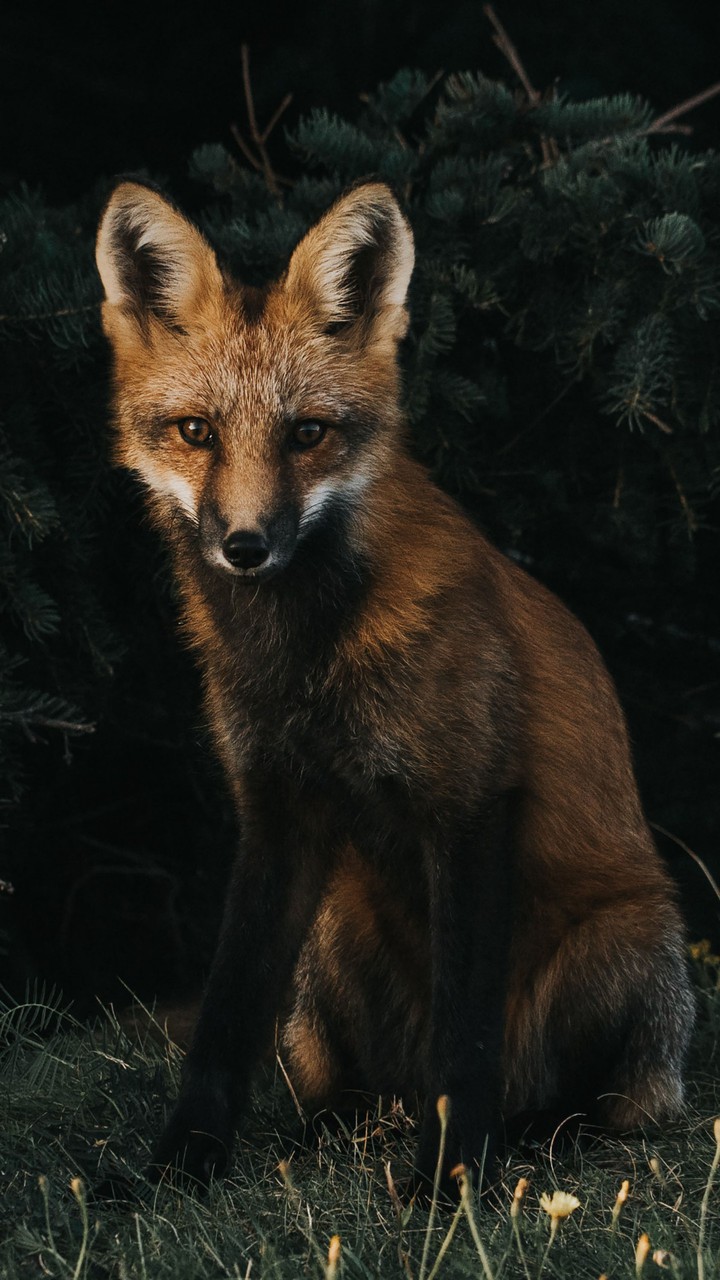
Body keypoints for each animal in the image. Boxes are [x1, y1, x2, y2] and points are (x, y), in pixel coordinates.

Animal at [95, 178, 695, 1192]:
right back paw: (333, 1128)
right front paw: (179, 1166)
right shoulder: (275, 810)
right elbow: (223, 1019)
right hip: (333, 933)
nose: (245, 546)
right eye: (196, 432)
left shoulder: (472, 802)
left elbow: (465, 1034)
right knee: (349, 1088)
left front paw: (452, 1183)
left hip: (628, 945)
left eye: (308, 433)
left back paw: (526, 1137)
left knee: (594, 1105)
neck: (305, 660)